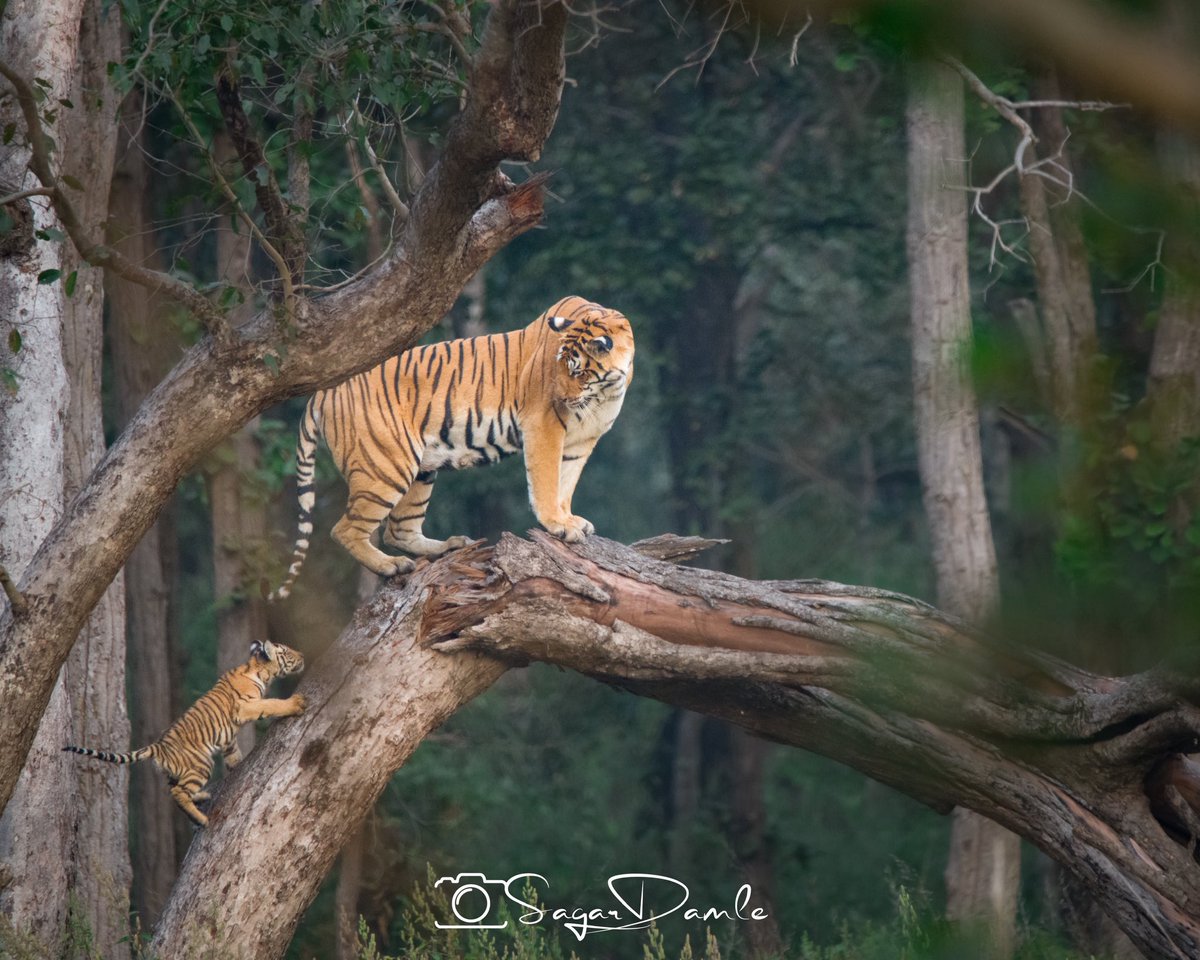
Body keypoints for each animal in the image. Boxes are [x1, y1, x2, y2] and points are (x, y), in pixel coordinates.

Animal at [64, 639, 306, 827]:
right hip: (201, 763)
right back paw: (202, 819)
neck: (259, 671)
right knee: (178, 793)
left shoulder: (229, 737)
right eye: (286, 651)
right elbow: (272, 704)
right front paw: (296, 704)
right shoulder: (245, 707)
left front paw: (238, 766)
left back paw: (202, 798)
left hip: (176, 773)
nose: (302, 655)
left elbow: (233, 754)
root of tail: (157, 746)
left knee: (177, 791)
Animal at [271, 295, 635, 599]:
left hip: (419, 470)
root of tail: (325, 389)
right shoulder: (543, 425)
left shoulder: (582, 441)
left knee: (398, 530)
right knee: (345, 530)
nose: (559, 397)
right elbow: (546, 481)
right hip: (386, 467)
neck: (606, 392)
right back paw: (391, 565)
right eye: (560, 367)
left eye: (578, 371)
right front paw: (557, 525)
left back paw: (449, 546)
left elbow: (565, 482)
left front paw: (569, 520)